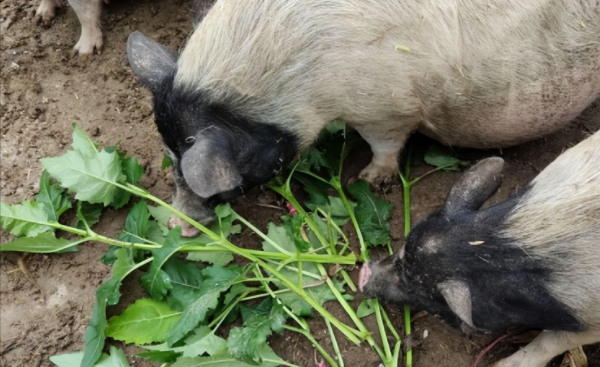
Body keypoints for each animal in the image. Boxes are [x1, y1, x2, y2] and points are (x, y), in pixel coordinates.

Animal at [358, 132, 600, 367]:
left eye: (416, 287)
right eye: (402, 249)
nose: (363, 274)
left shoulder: (589, 321)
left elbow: (549, 343)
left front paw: (497, 365)